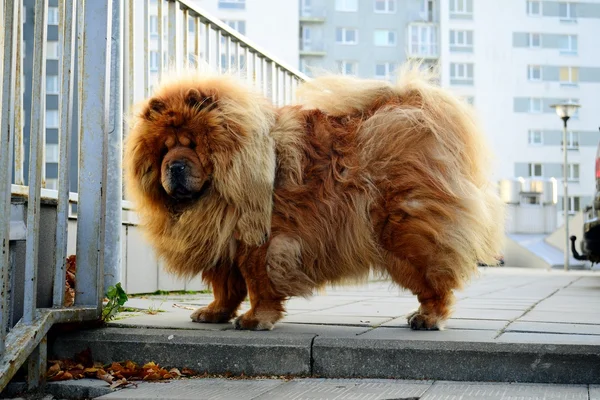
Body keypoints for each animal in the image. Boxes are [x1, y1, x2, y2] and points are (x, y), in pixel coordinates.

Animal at [124, 67, 504, 332]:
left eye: (192, 145)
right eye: (164, 150)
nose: (174, 166)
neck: (216, 190)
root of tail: (412, 108)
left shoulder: (259, 242)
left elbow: (258, 284)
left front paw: (256, 319)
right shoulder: (222, 241)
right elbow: (225, 286)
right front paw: (215, 313)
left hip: (404, 234)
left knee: (435, 282)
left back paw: (428, 317)